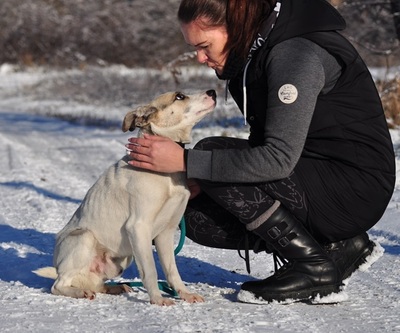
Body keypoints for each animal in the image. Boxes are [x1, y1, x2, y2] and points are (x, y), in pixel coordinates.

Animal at [34, 89, 216, 304]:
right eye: (179, 96)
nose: (213, 92)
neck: (165, 176)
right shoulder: (139, 227)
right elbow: (150, 270)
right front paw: (157, 300)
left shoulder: (166, 232)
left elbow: (172, 271)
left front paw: (185, 294)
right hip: (84, 238)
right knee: (58, 285)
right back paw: (80, 292)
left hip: (121, 260)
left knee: (95, 283)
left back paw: (116, 287)